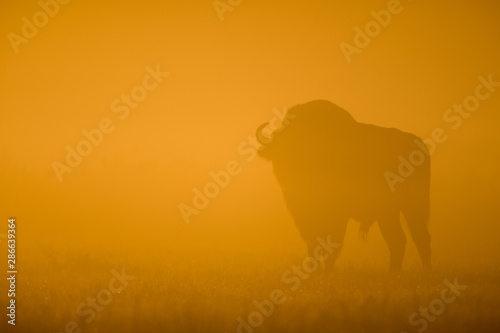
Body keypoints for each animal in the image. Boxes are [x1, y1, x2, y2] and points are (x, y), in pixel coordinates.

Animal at [258, 99, 430, 270]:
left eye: (304, 150)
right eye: (281, 152)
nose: (290, 179)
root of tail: (419, 144)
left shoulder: (337, 218)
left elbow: (330, 247)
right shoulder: (304, 217)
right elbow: (313, 246)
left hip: (412, 208)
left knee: (418, 238)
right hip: (389, 213)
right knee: (399, 240)